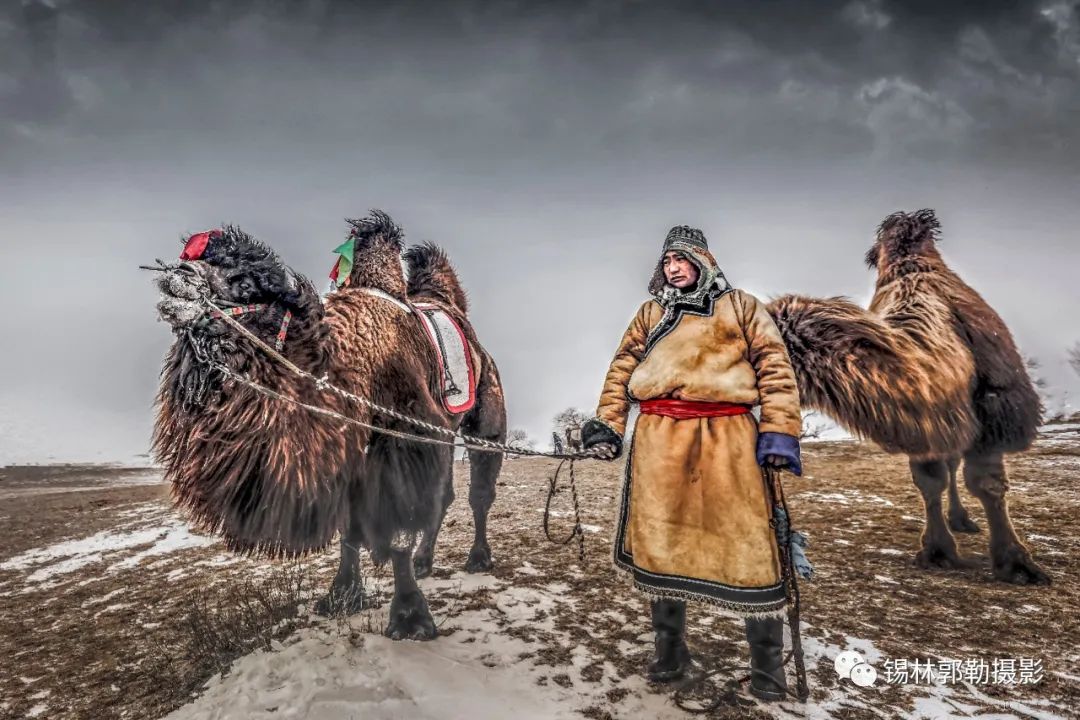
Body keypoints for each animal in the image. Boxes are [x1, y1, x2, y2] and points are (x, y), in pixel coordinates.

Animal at [154, 211, 507, 639]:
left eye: (245, 284)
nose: (178, 276)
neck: (340, 367)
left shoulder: (404, 442)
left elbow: (400, 529)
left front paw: (410, 618)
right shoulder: (348, 455)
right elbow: (348, 533)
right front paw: (342, 596)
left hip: (485, 419)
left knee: (478, 493)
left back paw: (478, 558)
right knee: (444, 498)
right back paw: (426, 562)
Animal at [768, 208, 1054, 587]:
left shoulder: (995, 414)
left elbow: (987, 485)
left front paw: (1017, 564)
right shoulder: (923, 424)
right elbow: (930, 482)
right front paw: (938, 551)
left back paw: (963, 520)